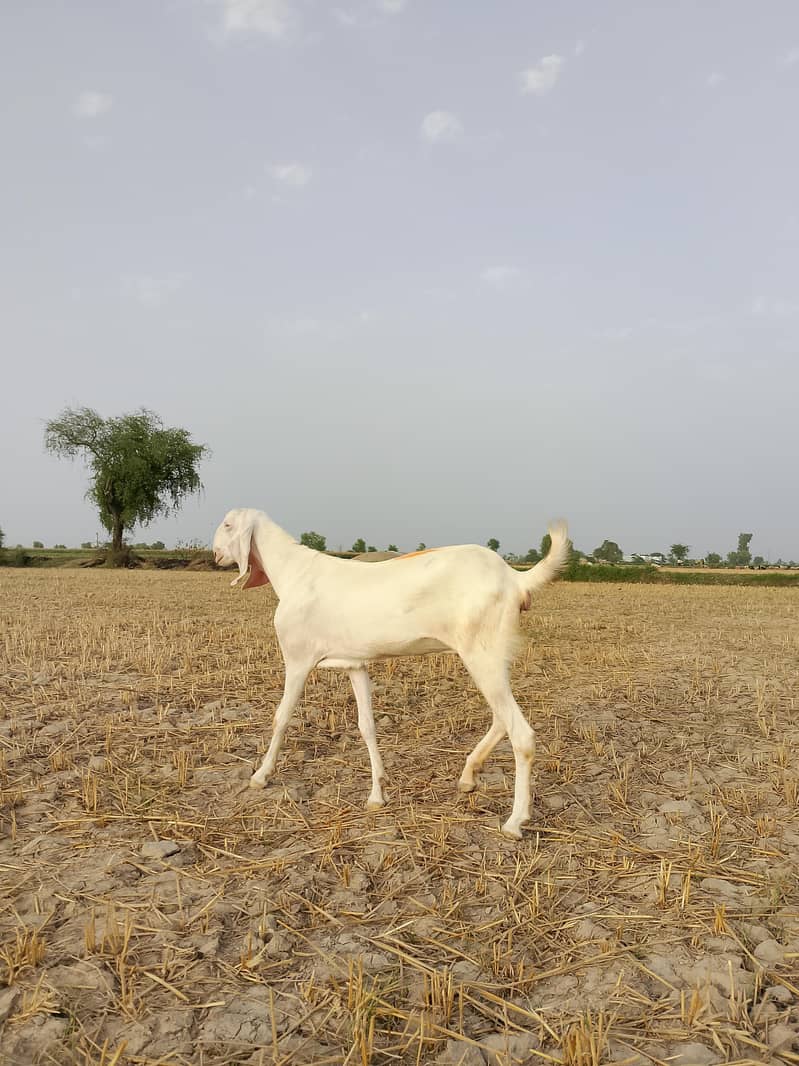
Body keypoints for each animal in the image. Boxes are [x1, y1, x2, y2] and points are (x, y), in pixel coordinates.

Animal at [213, 508, 569, 838]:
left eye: (228, 524)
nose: (215, 553)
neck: (295, 573)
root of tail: (514, 578)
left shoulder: (298, 659)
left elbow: (282, 717)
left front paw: (261, 776)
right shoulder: (355, 664)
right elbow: (366, 726)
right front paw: (377, 793)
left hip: (482, 654)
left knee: (521, 734)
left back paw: (515, 822)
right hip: (492, 658)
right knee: (500, 718)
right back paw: (468, 776)